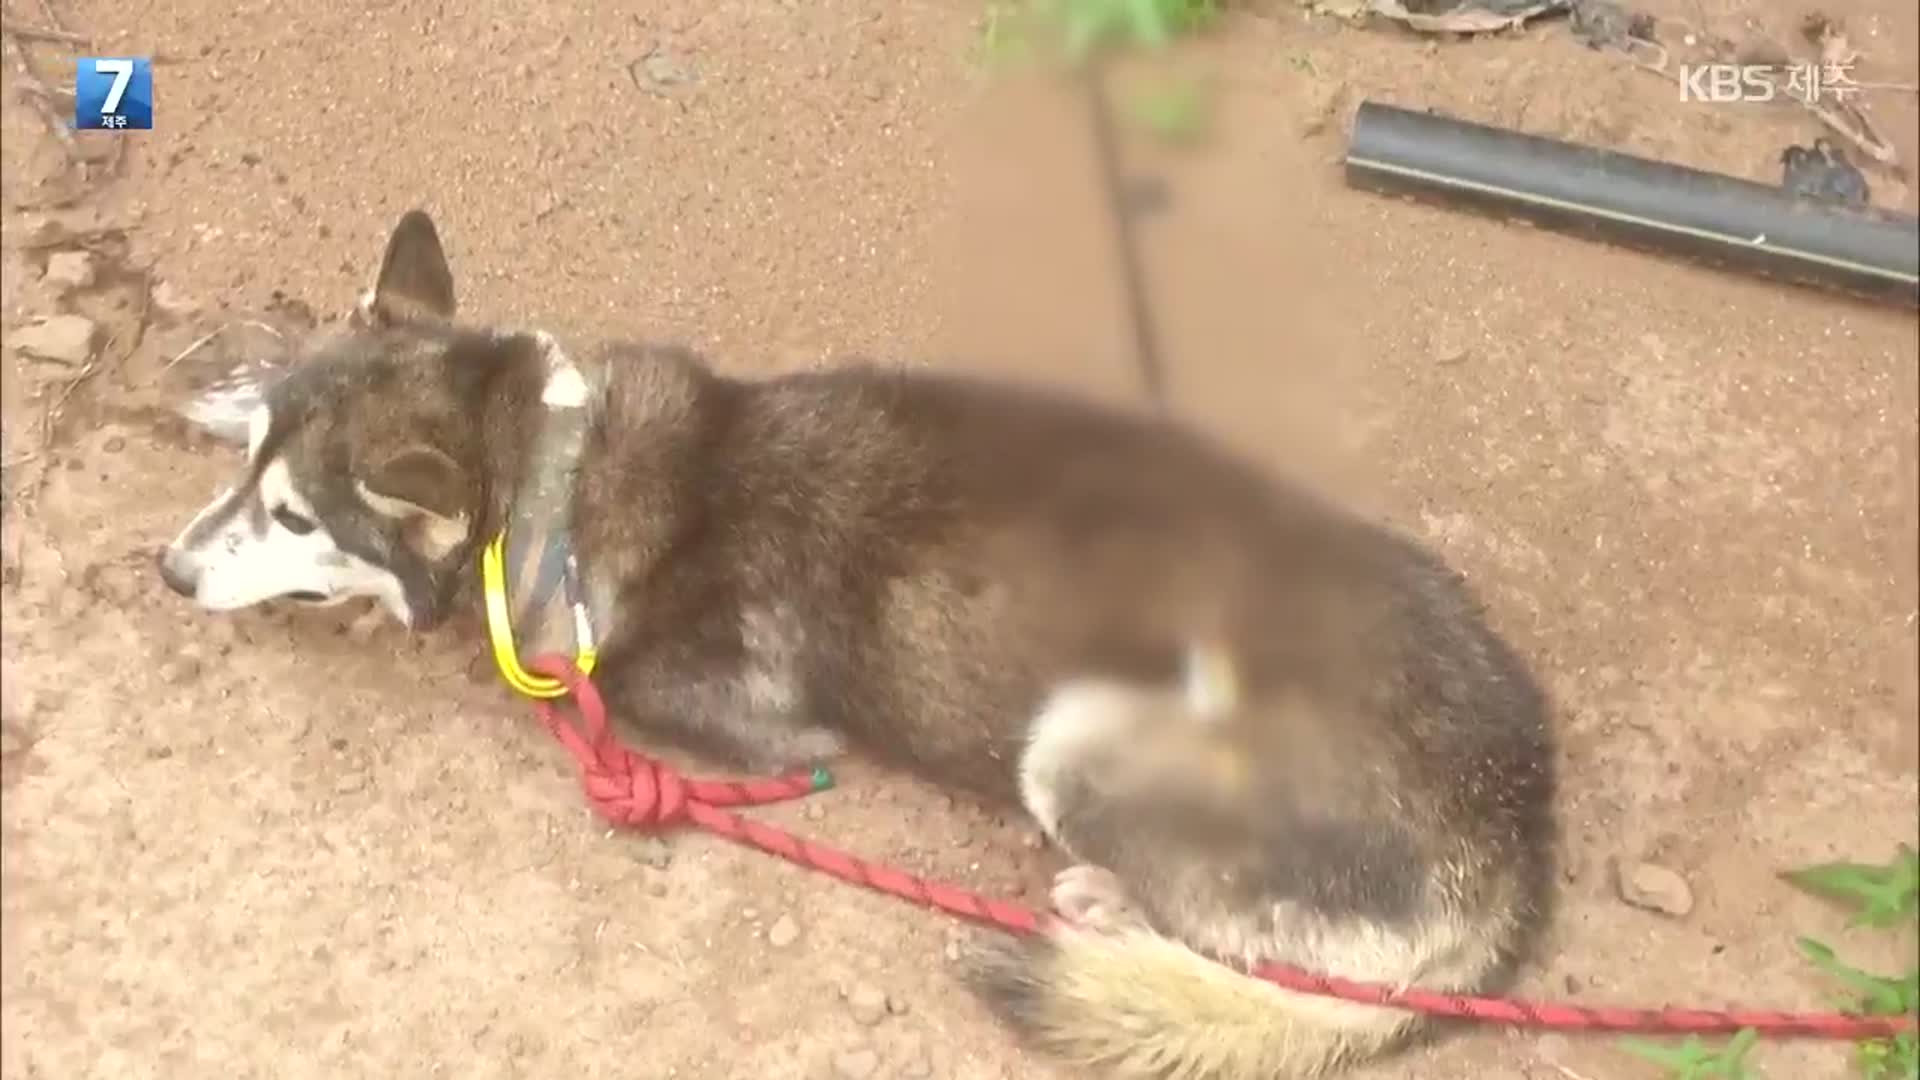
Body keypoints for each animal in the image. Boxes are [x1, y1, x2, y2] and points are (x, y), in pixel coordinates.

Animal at [153, 210, 1559, 1076]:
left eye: (298, 517)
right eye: (260, 479)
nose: (167, 573)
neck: (554, 468)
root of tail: (1511, 833)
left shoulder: (735, 709)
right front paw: (227, 396)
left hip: (1075, 743)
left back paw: (1106, 907)